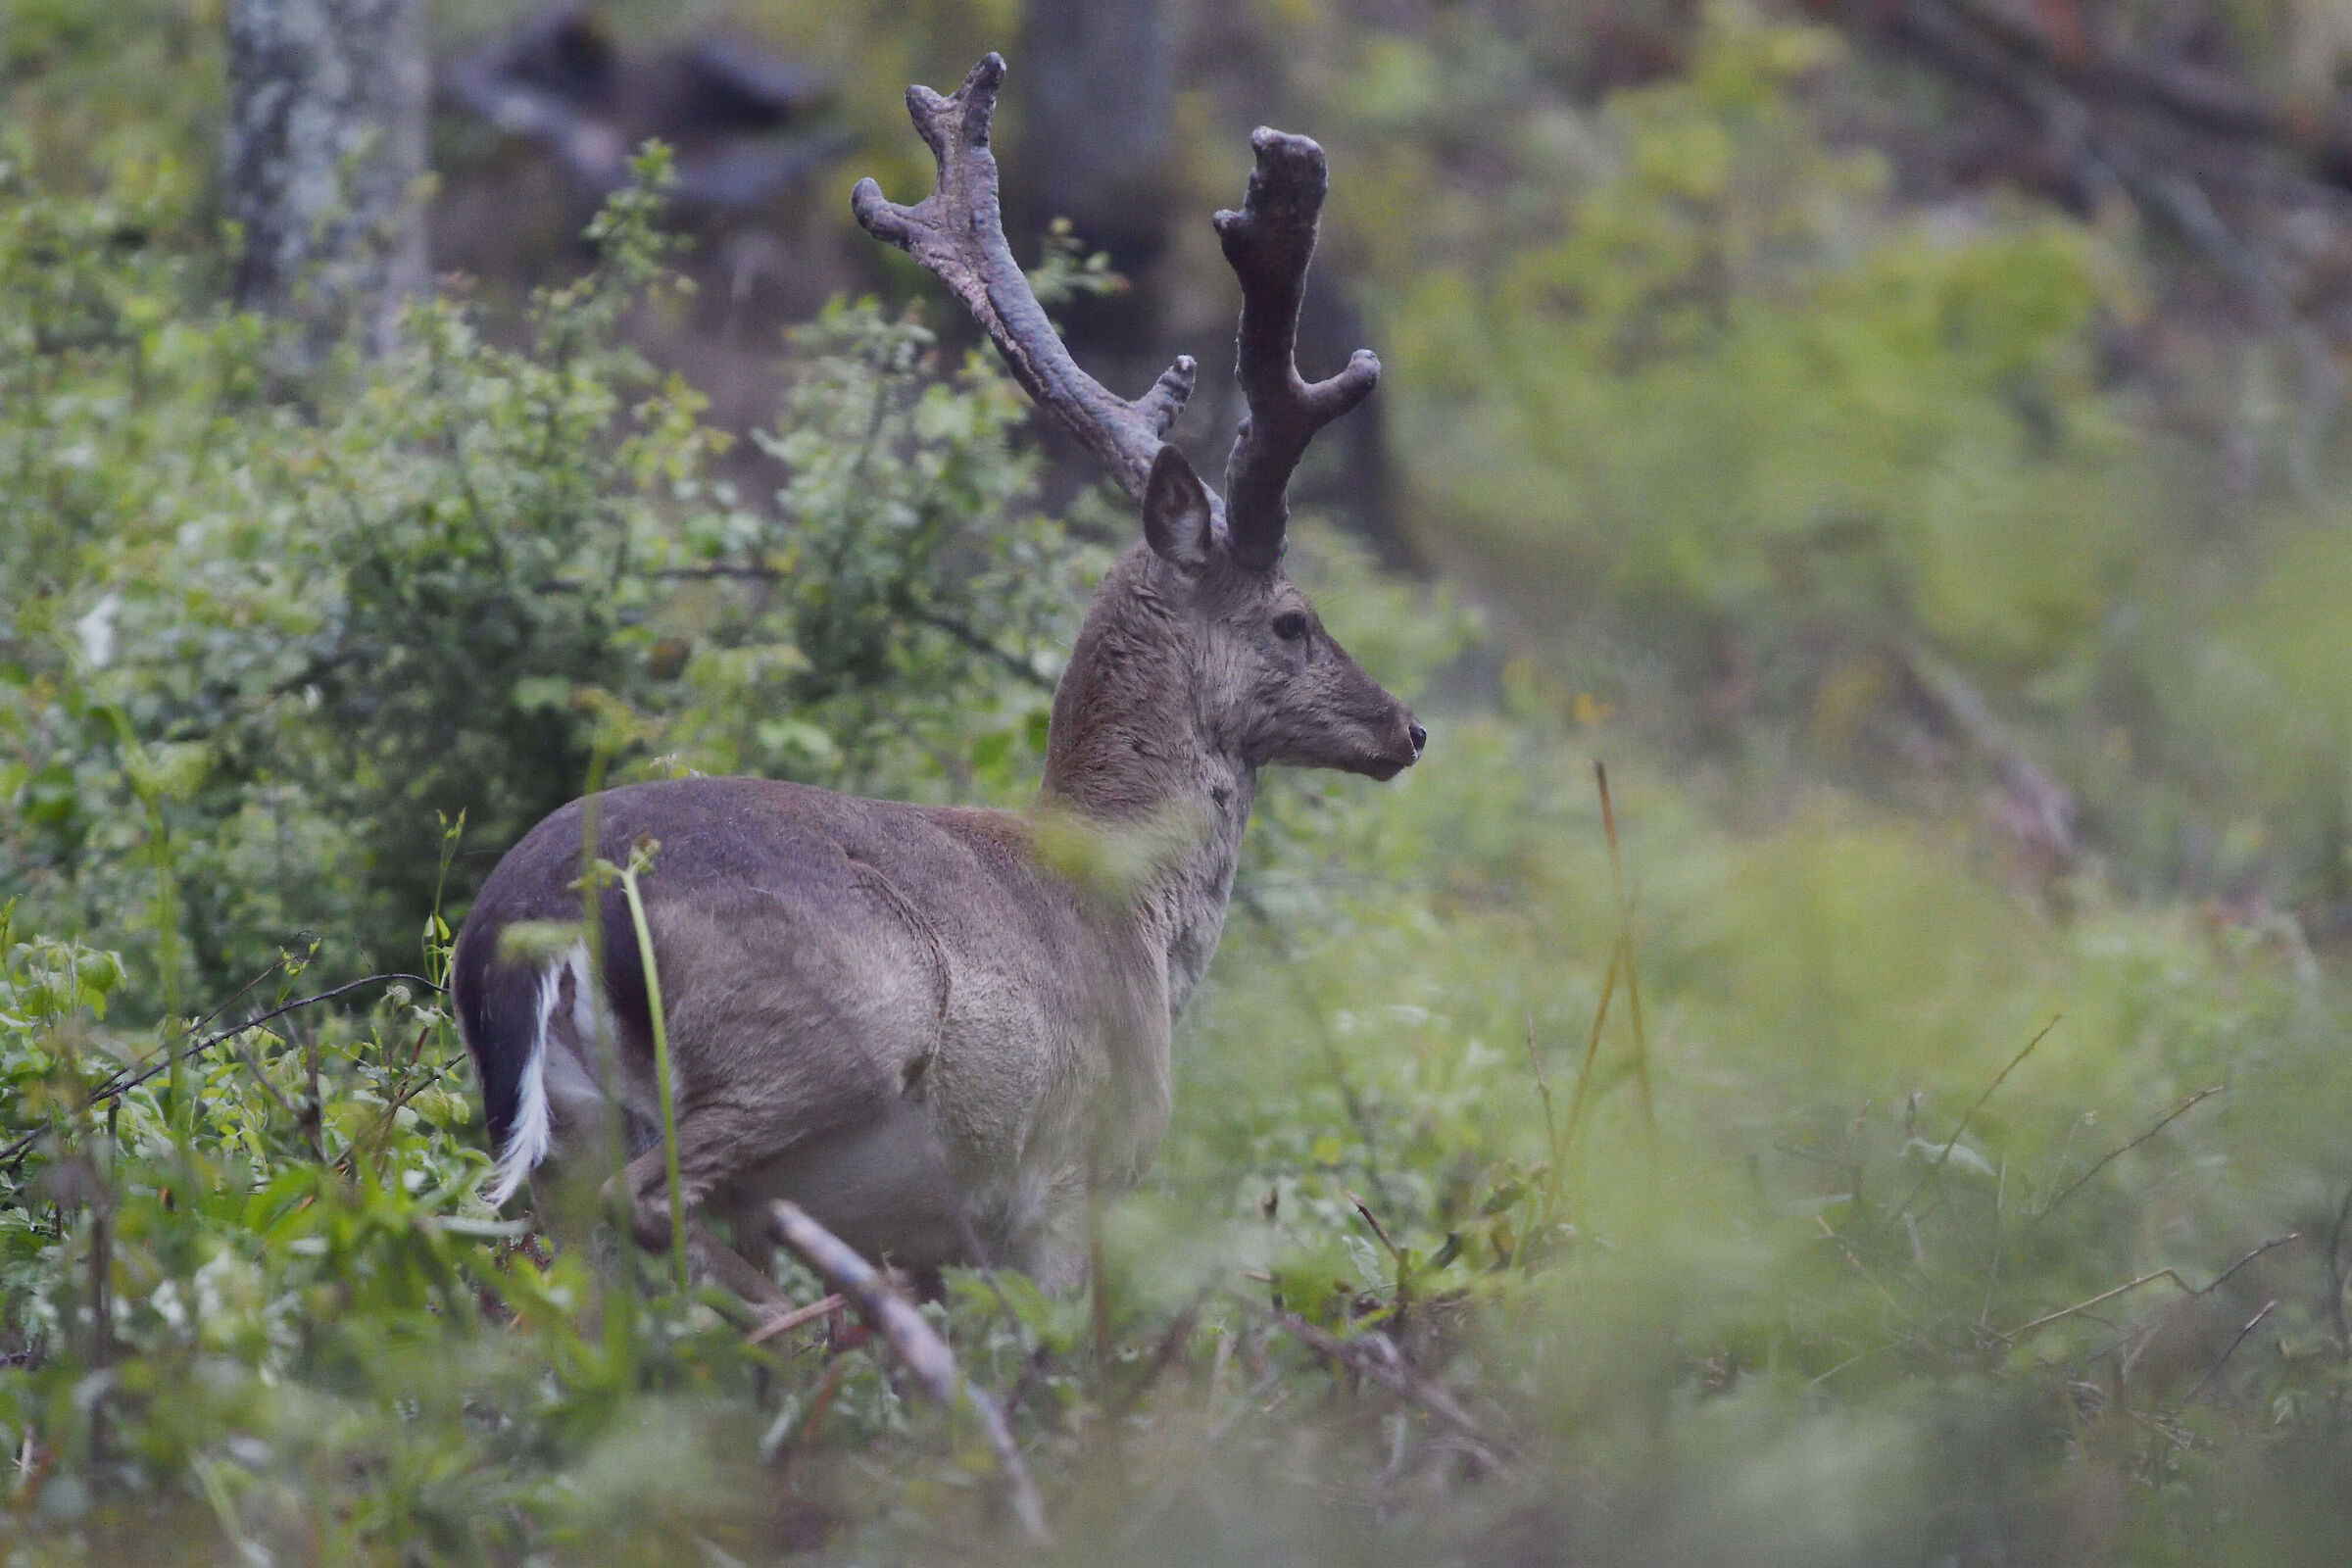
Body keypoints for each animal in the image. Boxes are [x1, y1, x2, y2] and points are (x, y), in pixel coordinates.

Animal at [449, 53, 1424, 1305]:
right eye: (1295, 619)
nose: (1404, 726)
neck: (1136, 908)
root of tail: (529, 928)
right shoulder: (1064, 1184)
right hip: (821, 1040)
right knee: (661, 1204)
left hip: (555, 1156)